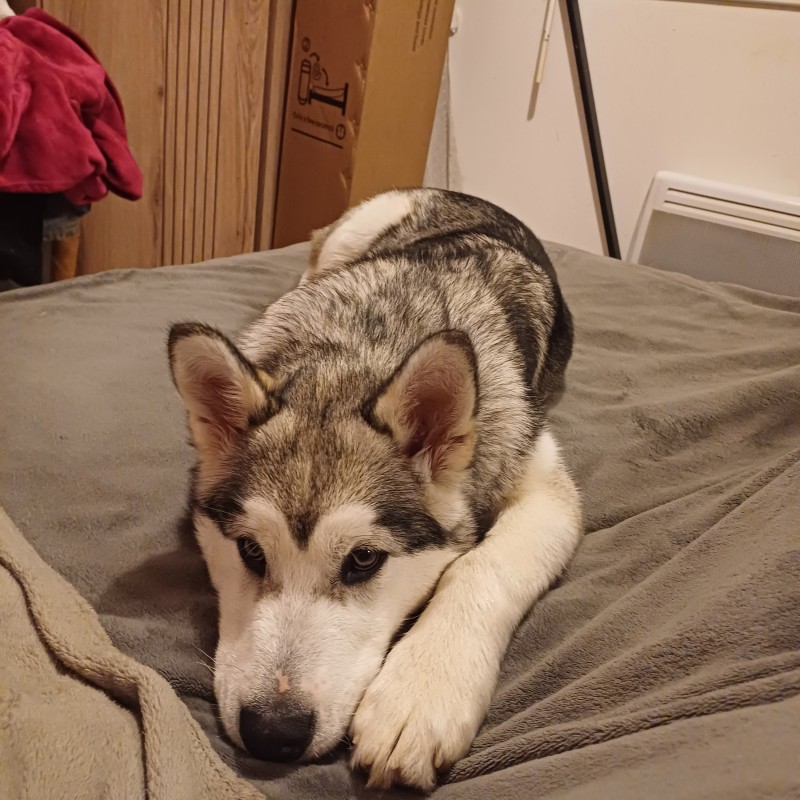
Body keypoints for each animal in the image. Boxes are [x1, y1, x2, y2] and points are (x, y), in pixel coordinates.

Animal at [167, 188, 582, 792]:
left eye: (364, 560)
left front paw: (420, 692)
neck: (360, 354)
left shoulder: (544, 484)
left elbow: (479, 565)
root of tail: (464, 195)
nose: (272, 730)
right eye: (248, 550)